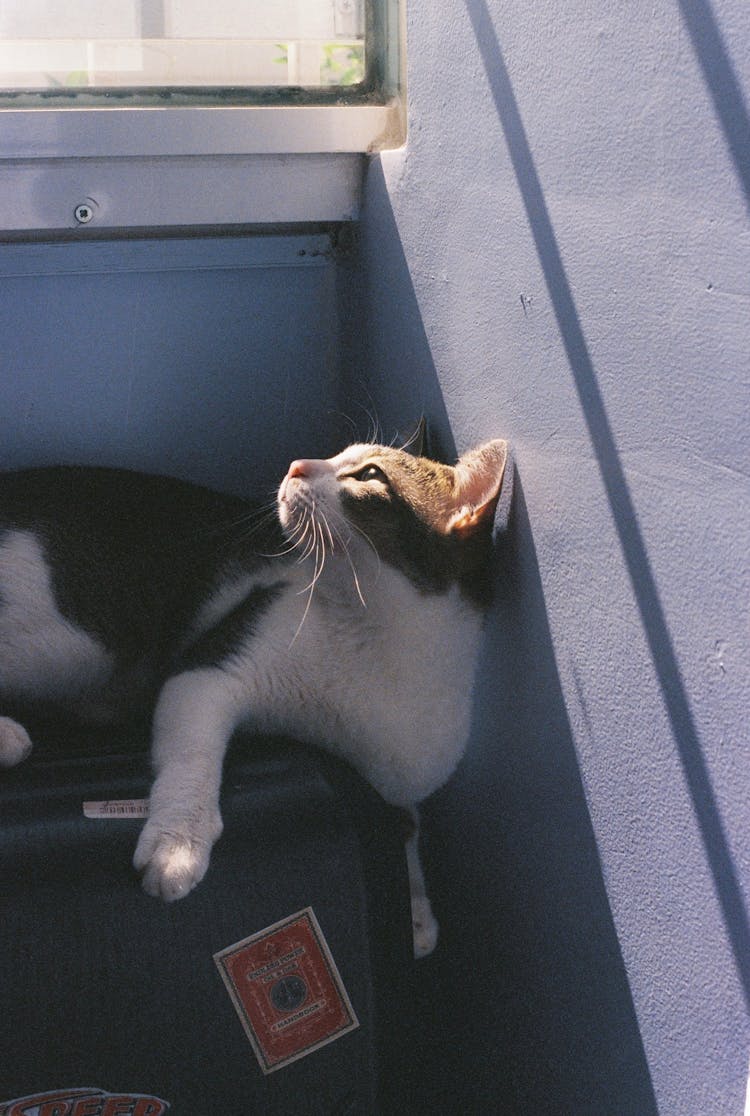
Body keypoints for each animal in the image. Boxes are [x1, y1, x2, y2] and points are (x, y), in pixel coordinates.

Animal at [0, 430, 508, 955]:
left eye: (368, 474)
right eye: (337, 454)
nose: (296, 465)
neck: (375, 635)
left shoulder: (398, 772)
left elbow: (405, 821)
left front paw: (416, 908)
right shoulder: (211, 669)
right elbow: (192, 760)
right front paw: (178, 844)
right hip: (76, 642)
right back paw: (9, 738)